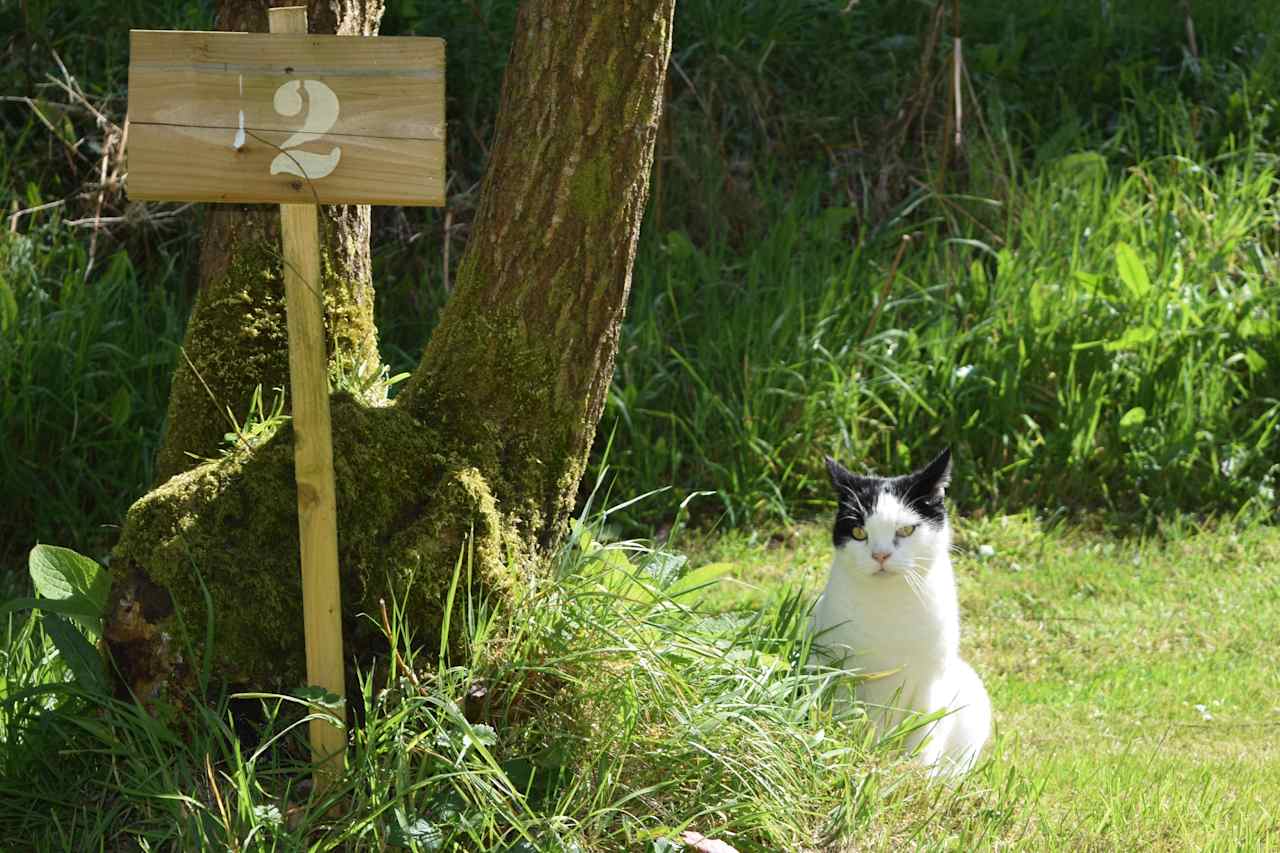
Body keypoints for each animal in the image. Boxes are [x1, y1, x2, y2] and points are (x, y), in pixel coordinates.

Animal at [808, 448, 988, 773]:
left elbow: (923, 735)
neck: (891, 604)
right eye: (859, 532)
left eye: (906, 530)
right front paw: (865, 757)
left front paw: (915, 775)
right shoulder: (840, 673)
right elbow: (857, 720)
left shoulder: (932, 683)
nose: (880, 555)